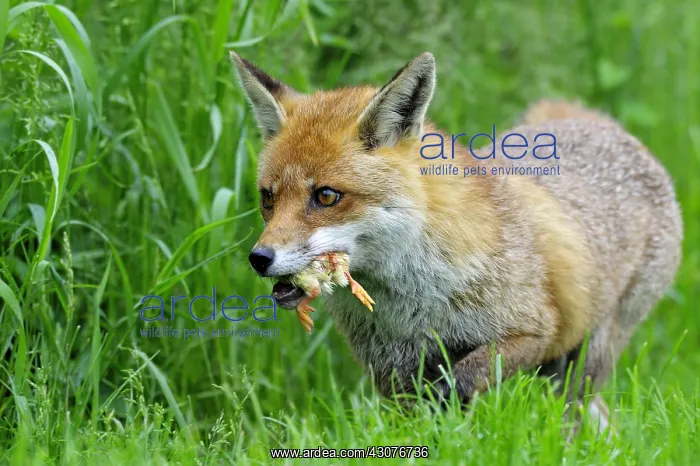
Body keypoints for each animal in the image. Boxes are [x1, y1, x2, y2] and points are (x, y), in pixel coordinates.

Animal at [230, 51, 683, 429]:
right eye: (267, 198)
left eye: (326, 196)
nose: (259, 258)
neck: (413, 302)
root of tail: (597, 123)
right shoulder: (393, 370)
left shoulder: (534, 330)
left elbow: (459, 384)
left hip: (584, 358)